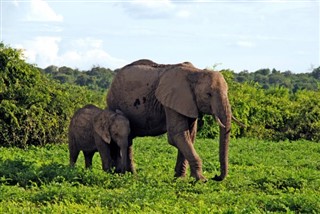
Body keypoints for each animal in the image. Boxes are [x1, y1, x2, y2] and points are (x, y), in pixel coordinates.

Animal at [107, 59, 238, 181]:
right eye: (208, 94)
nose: (215, 177)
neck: (196, 72)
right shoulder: (171, 102)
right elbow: (177, 135)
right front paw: (201, 180)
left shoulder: (189, 103)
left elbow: (189, 136)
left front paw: (180, 179)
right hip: (115, 102)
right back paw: (126, 176)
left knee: (128, 141)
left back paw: (132, 175)